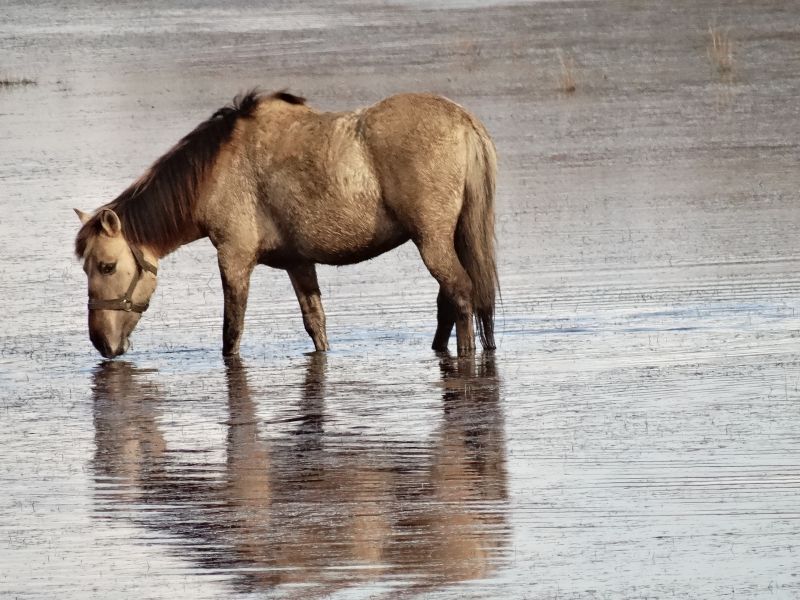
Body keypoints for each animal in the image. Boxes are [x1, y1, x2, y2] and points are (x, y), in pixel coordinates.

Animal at [76, 91, 500, 358]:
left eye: (106, 266)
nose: (100, 342)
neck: (217, 169)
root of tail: (464, 121)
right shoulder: (299, 263)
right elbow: (316, 325)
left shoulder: (234, 258)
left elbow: (231, 333)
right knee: (453, 301)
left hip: (432, 240)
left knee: (461, 294)